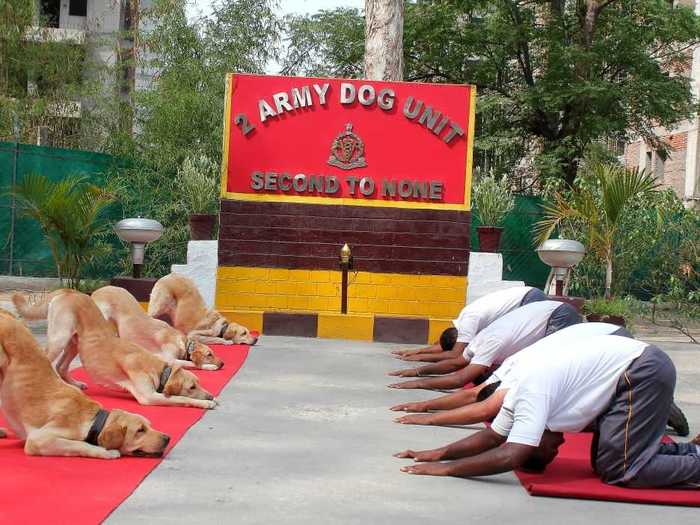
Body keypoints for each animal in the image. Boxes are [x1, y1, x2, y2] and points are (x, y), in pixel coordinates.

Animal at [0, 310, 170, 456]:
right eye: (140, 430)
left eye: (149, 426)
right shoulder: (38, 440)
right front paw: (105, 452)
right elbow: (79, 445)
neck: (92, 421)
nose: (167, 438)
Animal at [90, 286, 221, 368]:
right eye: (209, 354)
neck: (183, 342)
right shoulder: (170, 360)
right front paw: (210, 366)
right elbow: (191, 364)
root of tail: (97, 291)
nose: (223, 364)